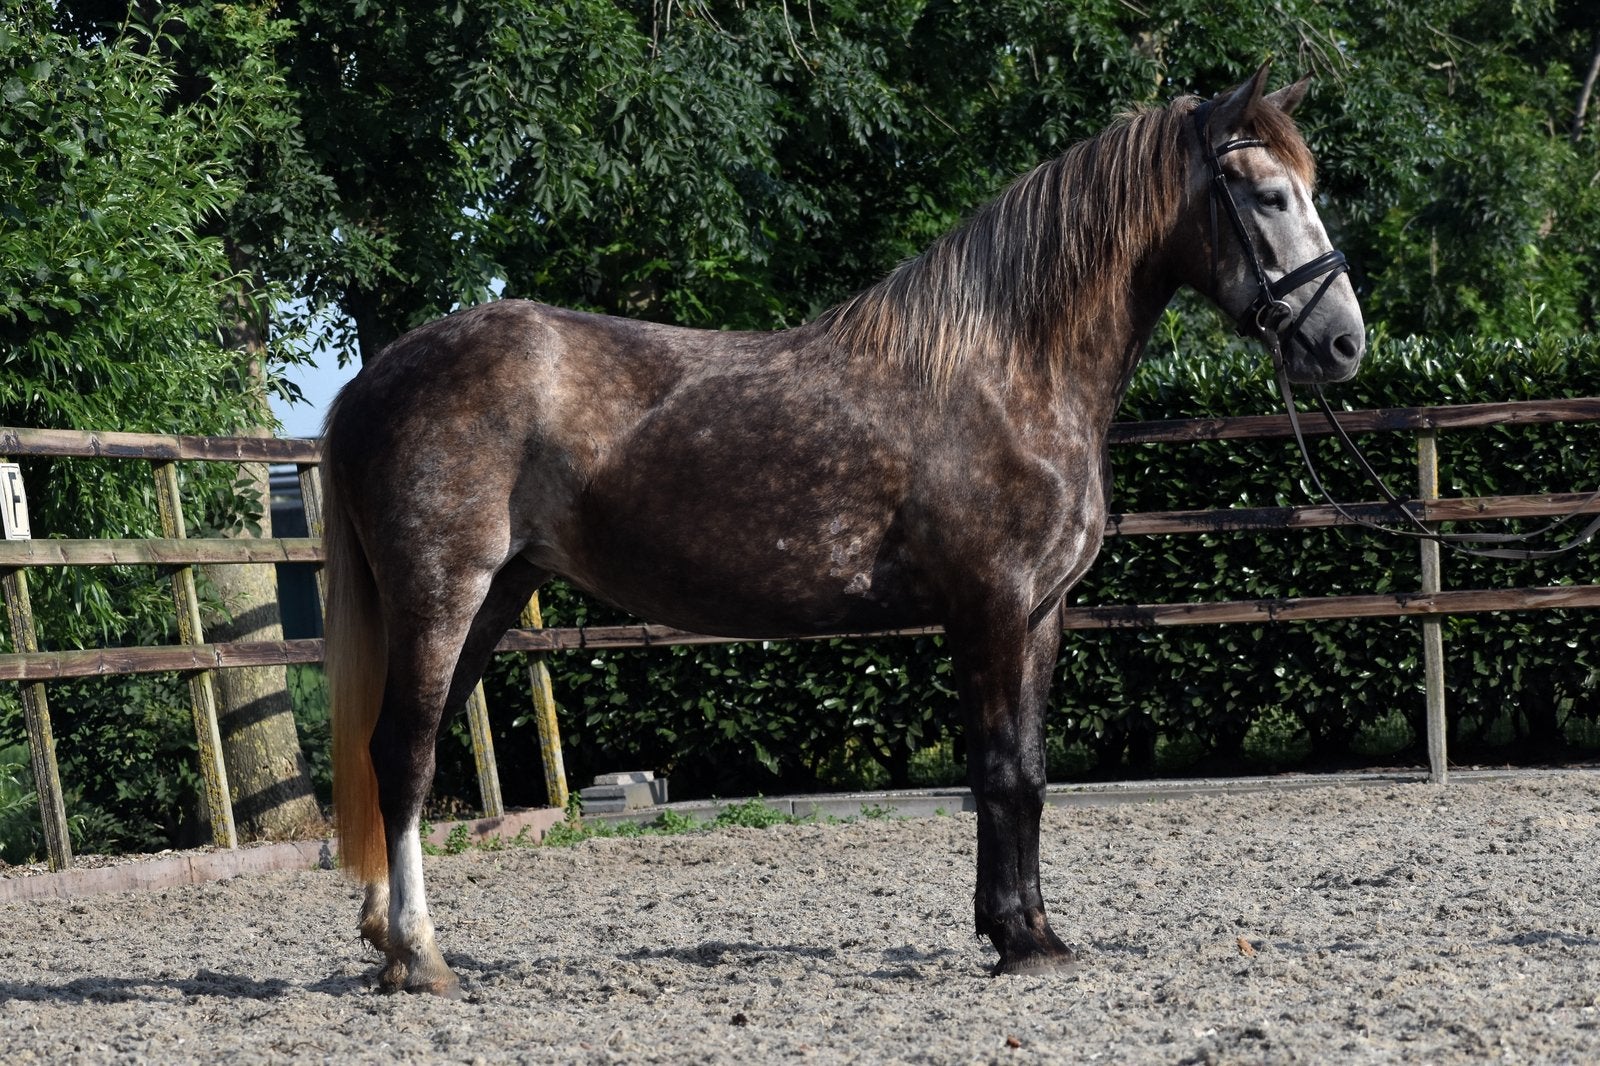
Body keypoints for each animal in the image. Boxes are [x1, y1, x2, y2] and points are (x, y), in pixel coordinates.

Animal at [320, 64, 1364, 997]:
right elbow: (1000, 773)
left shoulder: (1038, 617)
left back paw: (382, 942)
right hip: (442, 593)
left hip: (493, 598)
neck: (1008, 369)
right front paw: (1018, 940)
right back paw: (422, 957)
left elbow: (1026, 772)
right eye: (1268, 195)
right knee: (403, 752)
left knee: (398, 751)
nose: (1344, 341)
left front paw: (1028, 931)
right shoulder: (989, 608)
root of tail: (373, 383)